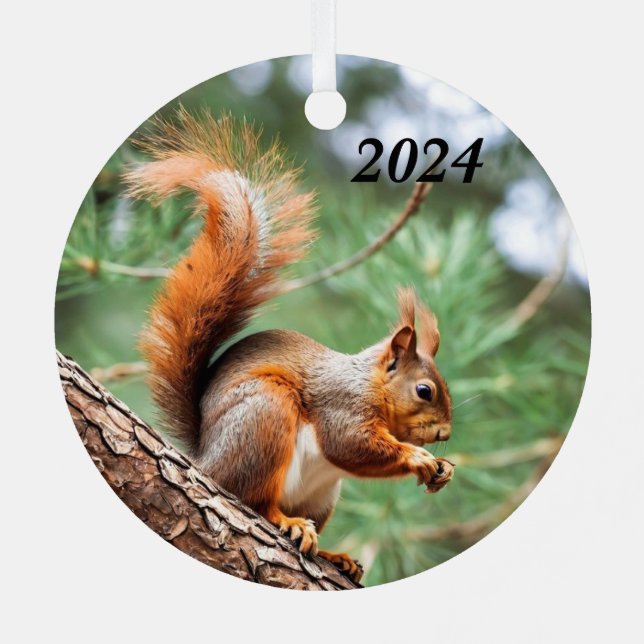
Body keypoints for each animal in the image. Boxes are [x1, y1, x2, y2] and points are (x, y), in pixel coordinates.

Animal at [124, 109, 454, 583]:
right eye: (424, 390)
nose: (446, 434)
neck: (368, 381)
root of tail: (205, 458)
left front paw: (444, 470)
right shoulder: (341, 404)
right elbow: (350, 444)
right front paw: (418, 457)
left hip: (322, 494)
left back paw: (336, 556)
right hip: (265, 416)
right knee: (254, 500)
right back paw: (286, 522)